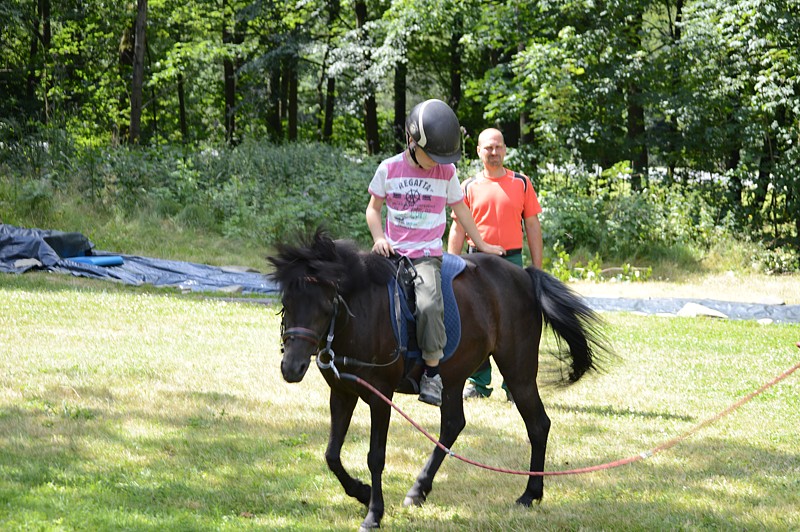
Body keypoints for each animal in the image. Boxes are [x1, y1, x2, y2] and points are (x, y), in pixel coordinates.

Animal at [268, 230, 608, 532]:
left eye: (326, 306)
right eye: (287, 301)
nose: (292, 367)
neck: (361, 314)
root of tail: (523, 275)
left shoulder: (380, 397)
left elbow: (375, 457)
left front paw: (374, 513)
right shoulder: (341, 392)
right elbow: (331, 454)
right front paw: (362, 493)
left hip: (518, 371)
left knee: (538, 425)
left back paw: (530, 493)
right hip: (455, 376)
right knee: (453, 425)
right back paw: (419, 489)